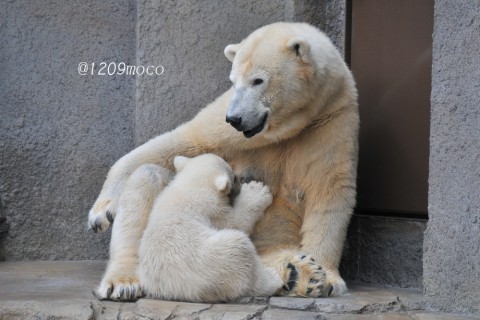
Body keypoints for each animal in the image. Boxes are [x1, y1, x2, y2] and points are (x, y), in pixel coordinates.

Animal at [90, 21, 358, 300]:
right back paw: (123, 282)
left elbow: (330, 191)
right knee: (149, 178)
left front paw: (325, 277)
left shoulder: (332, 120)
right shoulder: (233, 131)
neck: (289, 126)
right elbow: (187, 140)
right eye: (233, 81)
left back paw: (299, 273)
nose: (235, 118)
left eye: (258, 80)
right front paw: (102, 211)